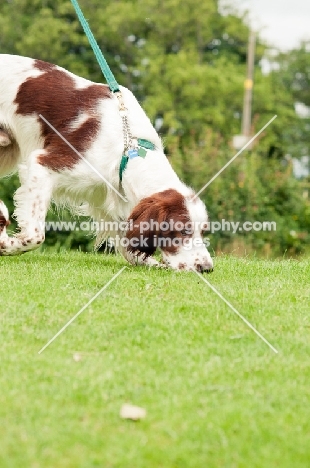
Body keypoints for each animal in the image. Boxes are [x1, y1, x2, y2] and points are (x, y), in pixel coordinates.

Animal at [0, 54, 213, 274]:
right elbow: (35, 235)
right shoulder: (44, 164)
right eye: (183, 231)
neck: (127, 151)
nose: (207, 268)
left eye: (204, 232)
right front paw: (7, 245)